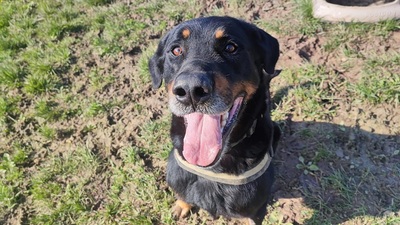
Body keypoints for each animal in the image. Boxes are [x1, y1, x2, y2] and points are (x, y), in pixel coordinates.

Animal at [148, 16, 282, 224]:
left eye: (231, 47)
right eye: (176, 50)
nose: (190, 90)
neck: (212, 169)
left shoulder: (255, 211)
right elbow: (183, 194)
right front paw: (181, 205)